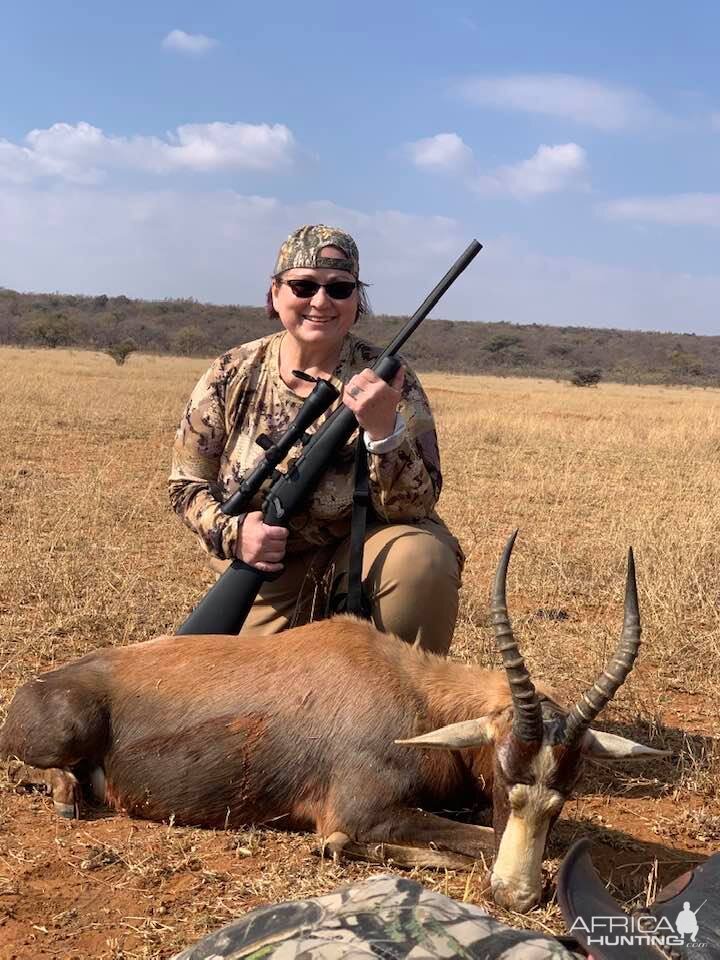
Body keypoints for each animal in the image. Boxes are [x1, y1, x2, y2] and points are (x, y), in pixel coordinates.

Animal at [0, 536, 668, 912]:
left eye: (566, 790)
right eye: (506, 775)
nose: (517, 897)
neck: (408, 689)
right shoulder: (362, 812)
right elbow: (457, 841)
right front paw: (339, 849)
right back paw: (67, 795)